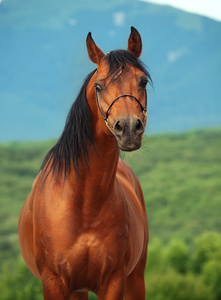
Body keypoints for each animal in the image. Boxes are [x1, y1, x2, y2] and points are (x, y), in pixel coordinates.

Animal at [18, 27, 150, 298]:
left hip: (135, 279)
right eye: (99, 86)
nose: (129, 128)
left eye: (143, 81)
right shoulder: (54, 282)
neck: (84, 203)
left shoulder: (114, 281)